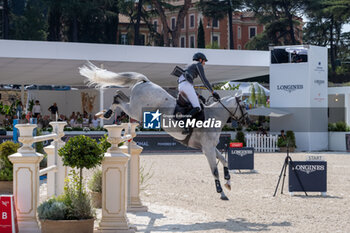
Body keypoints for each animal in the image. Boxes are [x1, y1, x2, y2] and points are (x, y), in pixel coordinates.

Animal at [79, 62, 249, 200]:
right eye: (244, 106)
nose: (247, 121)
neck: (214, 116)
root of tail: (145, 81)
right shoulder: (207, 149)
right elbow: (214, 170)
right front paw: (221, 192)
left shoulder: (210, 147)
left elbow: (225, 161)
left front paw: (228, 182)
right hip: (136, 111)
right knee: (118, 97)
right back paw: (106, 113)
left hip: (135, 108)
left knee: (119, 95)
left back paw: (105, 113)